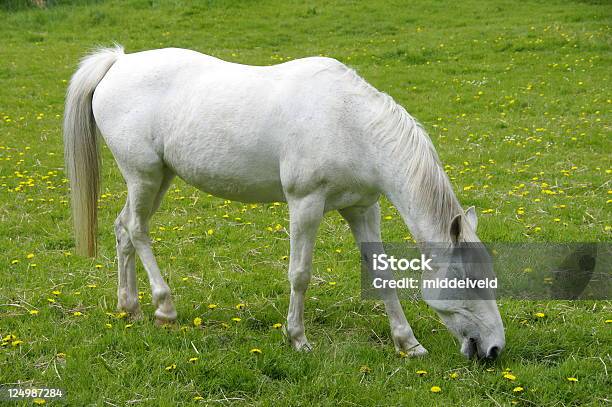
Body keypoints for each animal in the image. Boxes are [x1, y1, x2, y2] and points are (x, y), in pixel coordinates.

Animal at [64, 46, 506, 360]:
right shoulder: (305, 205)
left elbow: (381, 273)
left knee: (123, 228)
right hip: (144, 176)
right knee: (137, 230)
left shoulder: (362, 208)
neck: (351, 124)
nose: (494, 349)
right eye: (468, 281)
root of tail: (118, 62)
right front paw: (298, 339)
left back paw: (131, 308)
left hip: (159, 178)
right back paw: (164, 308)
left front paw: (408, 343)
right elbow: (300, 275)